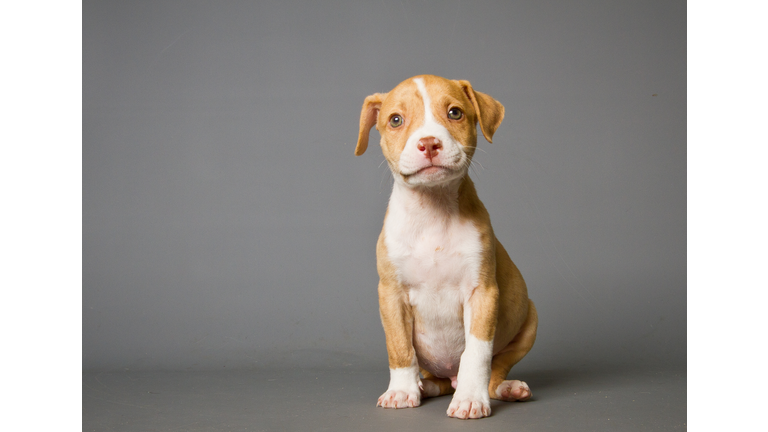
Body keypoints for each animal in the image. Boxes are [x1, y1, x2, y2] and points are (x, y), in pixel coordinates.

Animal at [356, 76, 536, 420]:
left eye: (455, 113)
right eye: (395, 120)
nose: (428, 143)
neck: (433, 210)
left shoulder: (482, 293)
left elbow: (477, 353)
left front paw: (470, 399)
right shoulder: (391, 294)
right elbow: (399, 347)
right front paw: (401, 391)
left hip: (530, 320)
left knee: (495, 371)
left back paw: (506, 389)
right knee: (433, 378)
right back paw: (423, 386)